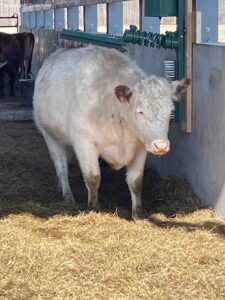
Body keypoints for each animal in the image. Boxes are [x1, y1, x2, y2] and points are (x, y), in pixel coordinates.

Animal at [33, 45, 191, 218]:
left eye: (171, 110)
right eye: (140, 112)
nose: (161, 145)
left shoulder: (140, 146)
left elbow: (136, 182)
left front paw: (138, 214)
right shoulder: (84, 143)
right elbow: (93, 177)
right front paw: (94, 208)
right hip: (50, 136)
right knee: (61, 167)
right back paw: (68, 196)